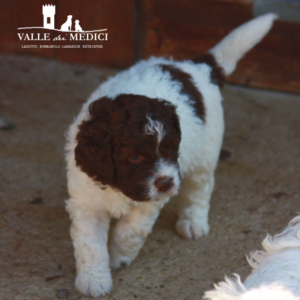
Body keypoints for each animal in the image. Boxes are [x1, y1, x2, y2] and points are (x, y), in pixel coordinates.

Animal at [65, 12, 276, 296]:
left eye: (171, 149)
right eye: (134, 157)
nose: (166, 183)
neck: (119, 187)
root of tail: (195, 68)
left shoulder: (150, 201)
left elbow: (130, 231)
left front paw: (117, 256)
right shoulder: (87, 200)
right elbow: (90, 244)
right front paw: (94, 279)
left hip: (206, 150)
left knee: (200, 187)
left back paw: (193, 221)